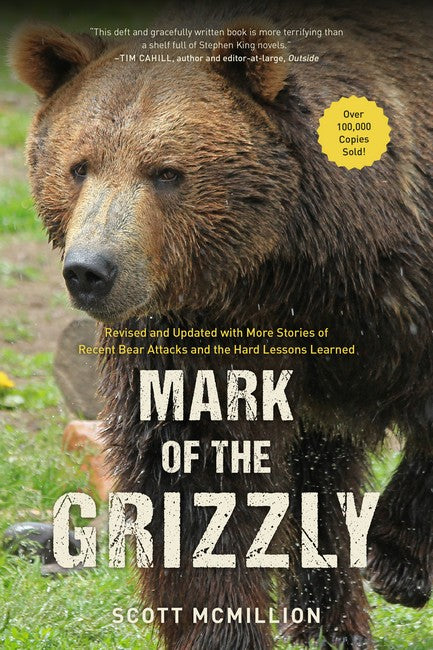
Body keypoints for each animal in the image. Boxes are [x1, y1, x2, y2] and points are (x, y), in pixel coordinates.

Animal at [9, 0, 433, 648]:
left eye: (166, 172)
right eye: (79, 167)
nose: (90, 271)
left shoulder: (401, 287)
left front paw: (398, 558)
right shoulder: (194, 335)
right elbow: (193, 474)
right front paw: (222, 627)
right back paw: (327, 621)